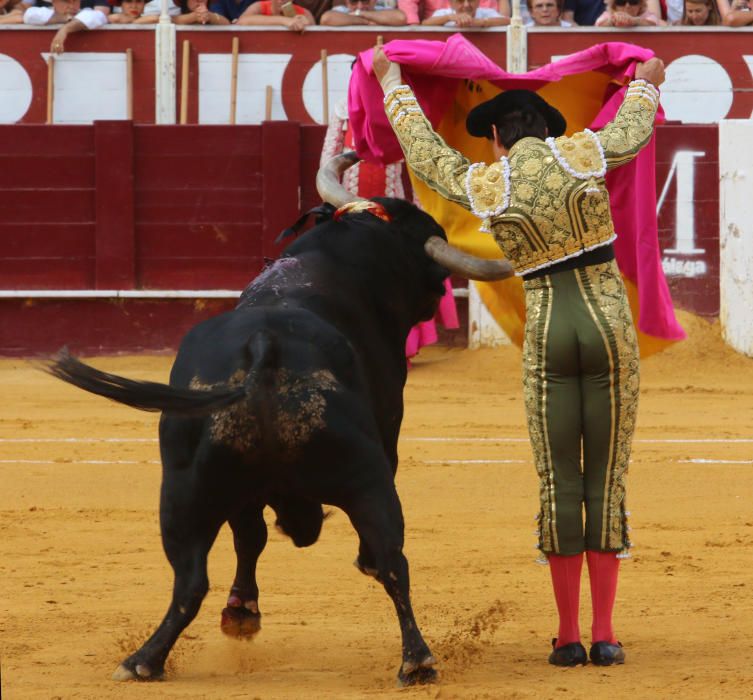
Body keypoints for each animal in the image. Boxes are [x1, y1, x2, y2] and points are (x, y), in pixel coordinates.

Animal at [47, 194, 462, 688]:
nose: (441, 291)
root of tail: (266, 345)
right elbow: (256, 538)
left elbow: (249, 538)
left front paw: (242, 611)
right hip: (364, 477)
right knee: (389, 558)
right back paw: (416, 658)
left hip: (186, 489)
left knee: (190, 580)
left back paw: (143, 660)